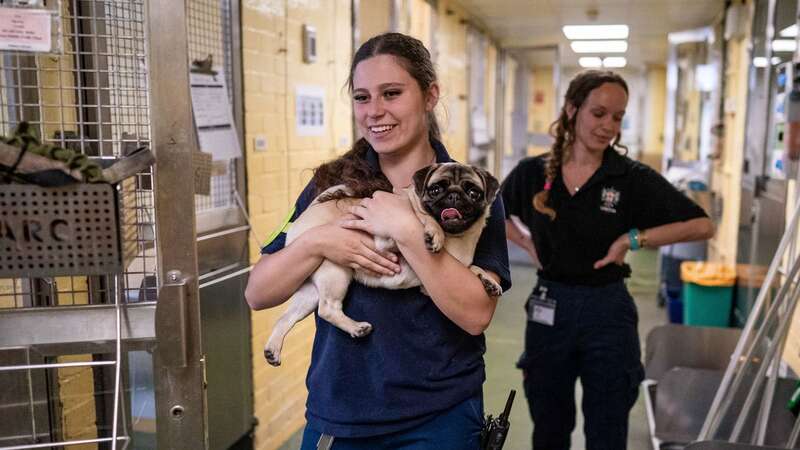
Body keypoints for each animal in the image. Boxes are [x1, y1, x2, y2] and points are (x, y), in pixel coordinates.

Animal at [262, 162, 500, 366]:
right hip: (336, 270)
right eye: (435, 190)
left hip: (310, 291)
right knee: (327, 309)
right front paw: (434, 232)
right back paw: (357, 328)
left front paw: (488, 281)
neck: (457, 237)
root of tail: (303, 218)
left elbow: (473, 268)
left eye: (473, 193)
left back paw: (272, 350)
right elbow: (421, 217)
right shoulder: (385, 236)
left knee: (285, 318)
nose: (454, 195)